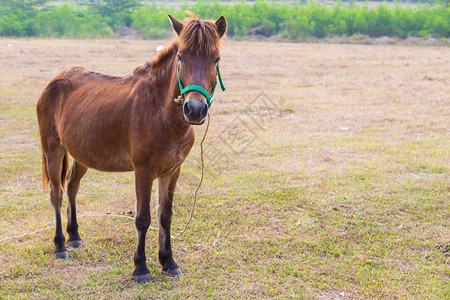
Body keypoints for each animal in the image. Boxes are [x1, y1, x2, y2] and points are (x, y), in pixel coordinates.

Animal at [35, 13, 227, 282]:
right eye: (181, 57)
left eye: (215, 59)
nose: (195, 109)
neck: (161, 112)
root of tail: (54, 80)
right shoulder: (143, 171)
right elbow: (143, 218)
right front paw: (141, 268)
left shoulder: (171, 171)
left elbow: (165, 215)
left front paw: (169, 262)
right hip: (53, 149)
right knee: (57, 194)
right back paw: (61, 246)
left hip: (81, 155)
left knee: (72, 187)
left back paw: (74, 237)